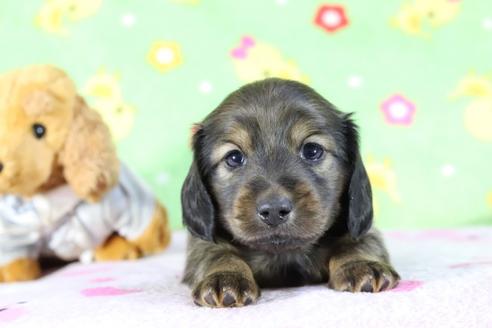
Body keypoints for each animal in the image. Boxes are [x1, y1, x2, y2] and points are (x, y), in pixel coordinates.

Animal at [181, 78, 400, 306]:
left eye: (312, 150)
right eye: (234, 157)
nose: (274, 210)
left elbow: (357, 242)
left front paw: (361, 264)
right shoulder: (201, 242)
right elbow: (215, 253)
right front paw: (225, 276)